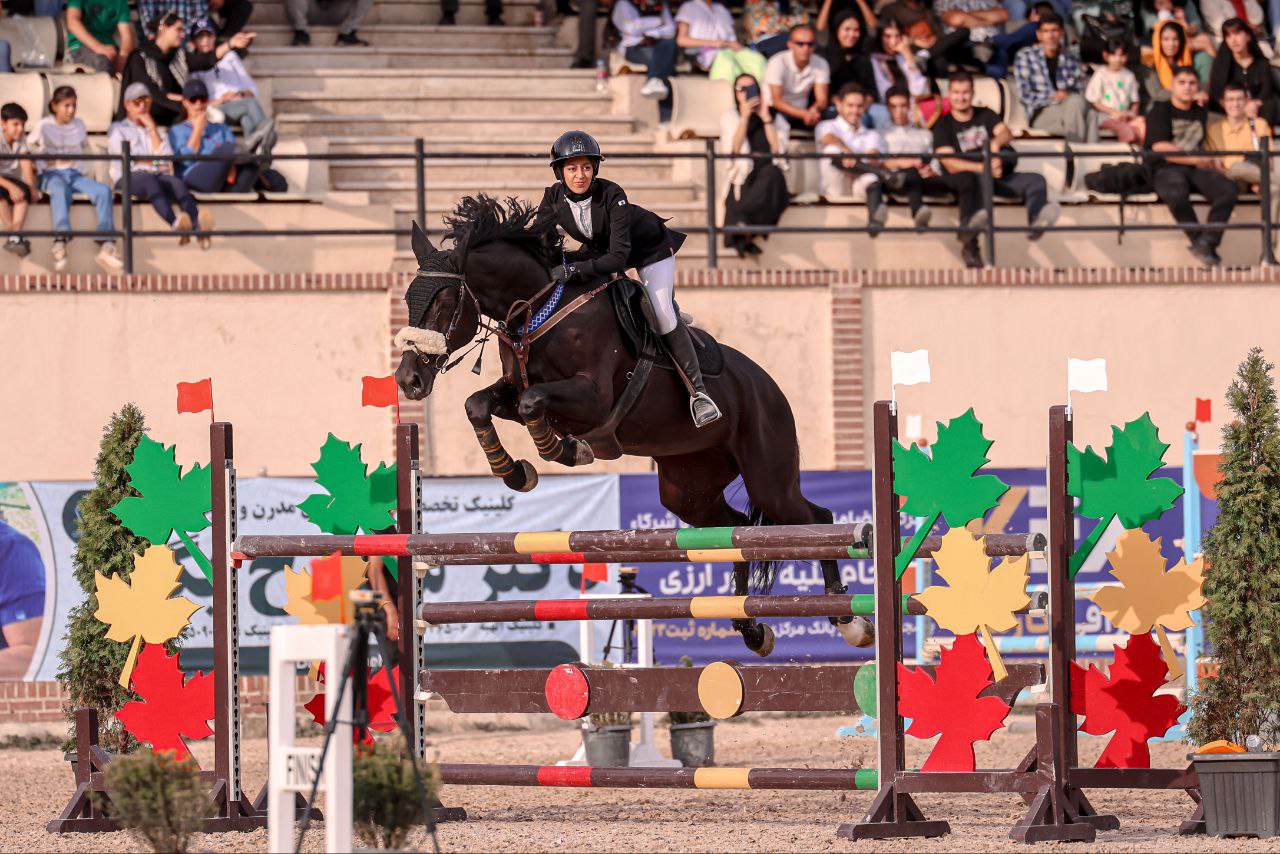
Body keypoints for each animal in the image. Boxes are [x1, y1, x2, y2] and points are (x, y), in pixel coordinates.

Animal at [391, 198, 870, 655]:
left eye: (444, 302)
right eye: (409, 301)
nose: (408, 380)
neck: (538, 309)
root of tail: (769, 387)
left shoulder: (591, 397)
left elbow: (532, 403)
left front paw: (565, 450)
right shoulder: (513, 388)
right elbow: (478, 404)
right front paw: (516, 472)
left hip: (769, 474)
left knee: (816, 520)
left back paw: (849, 620)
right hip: (689, 488)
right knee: (736, 530)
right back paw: (750, 627)